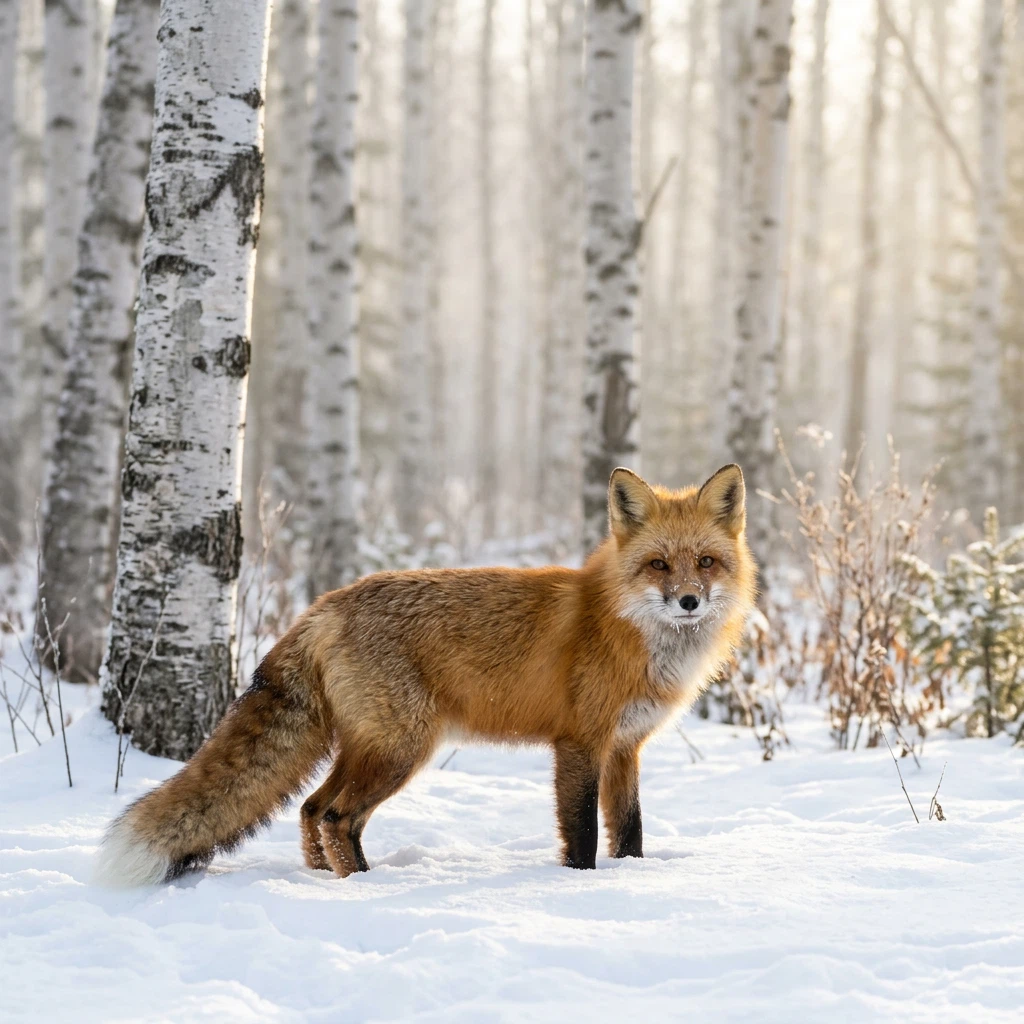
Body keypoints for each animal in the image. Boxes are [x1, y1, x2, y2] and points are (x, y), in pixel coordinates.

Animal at [94, 464, 757, 886]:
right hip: (402, 748)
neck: (629, 632)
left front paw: (632, 878)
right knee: (335, 816)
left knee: (311, 808)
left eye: (705, 562)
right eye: (658, 565)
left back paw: (326, 880)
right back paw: (366, 887)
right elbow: (584, 835)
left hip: (371, 746)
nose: (689, 602)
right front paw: (580, 889)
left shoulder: (625, 747)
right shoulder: (580, 743)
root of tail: (324, 605)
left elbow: (631, 830)